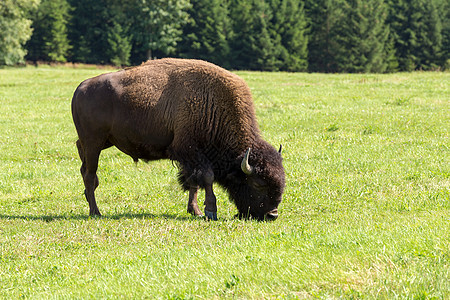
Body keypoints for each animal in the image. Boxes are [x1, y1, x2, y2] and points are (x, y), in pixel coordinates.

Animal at [72, 58, 286, 221]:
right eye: (258, 184)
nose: (272, 215)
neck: (213, 105)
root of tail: (80, 88)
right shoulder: (191, 151)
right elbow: (207, 178)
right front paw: (210, 211)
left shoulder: (190, 158)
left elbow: (193, 182)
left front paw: (195, 210)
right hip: (93, 142)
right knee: (90, 174)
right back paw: (95, 212)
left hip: (101, 142)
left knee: (83, 166)